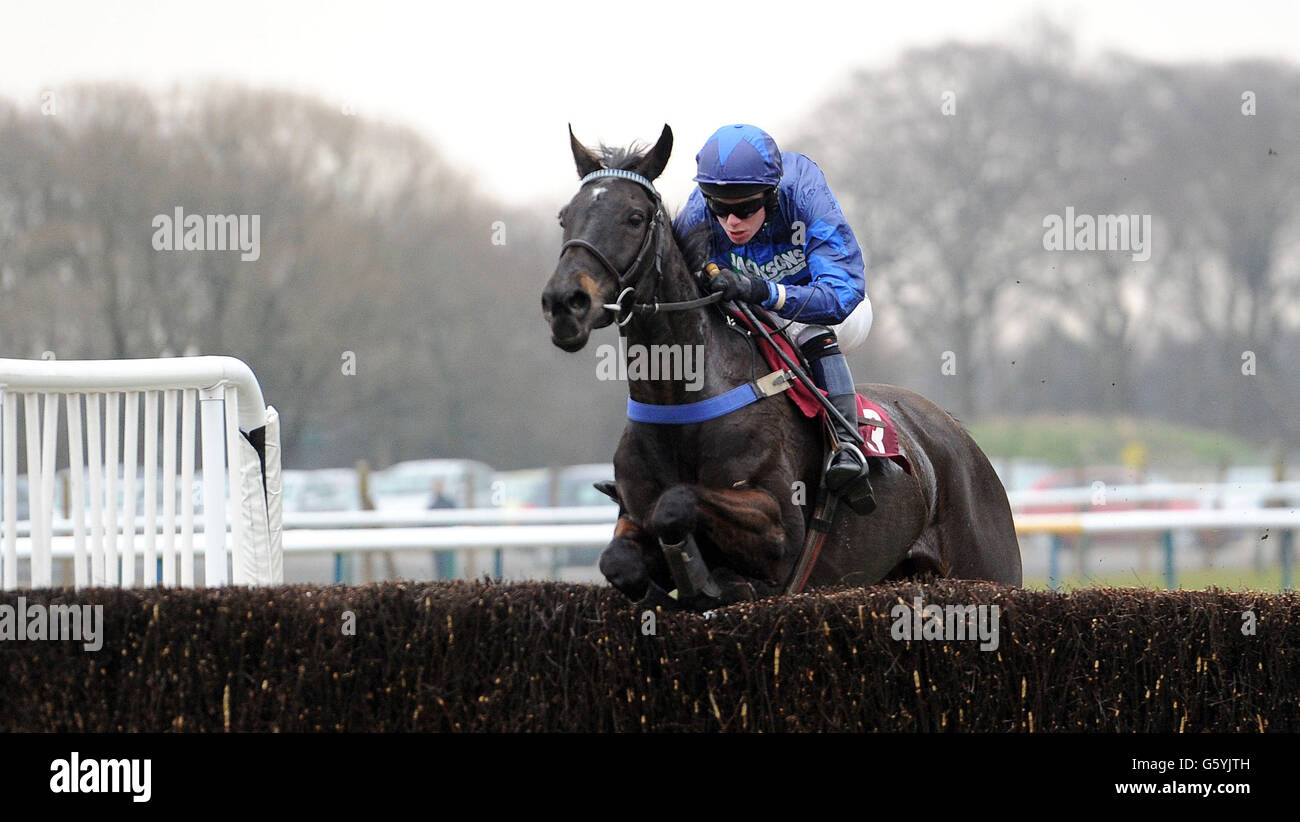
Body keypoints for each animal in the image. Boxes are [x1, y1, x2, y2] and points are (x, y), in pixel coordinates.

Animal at [543, 125, 1019, 606]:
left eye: (635, 217)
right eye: (566, 217)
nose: (564, 302)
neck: (681, 398)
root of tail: (957, 434)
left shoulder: (779, 530)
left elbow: (676, 504)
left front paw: (708, 580)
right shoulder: (632, 514)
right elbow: (619, 560)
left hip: (988, 566)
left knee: (819, 332)